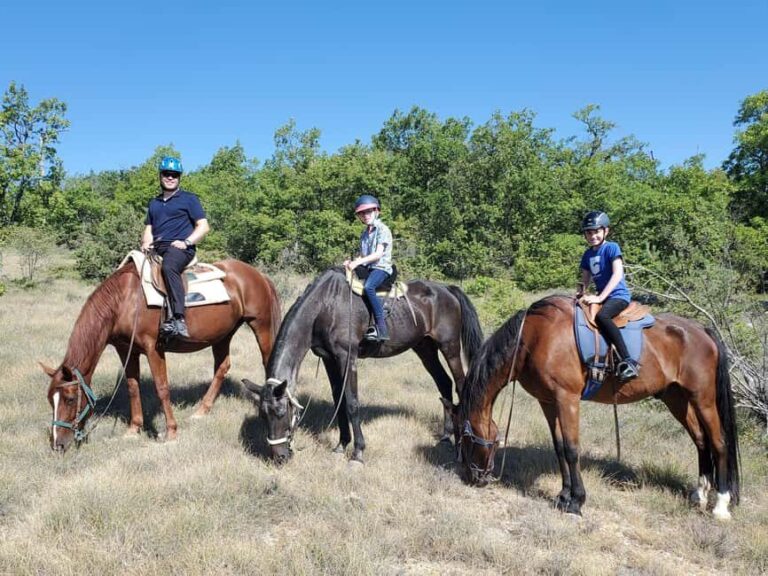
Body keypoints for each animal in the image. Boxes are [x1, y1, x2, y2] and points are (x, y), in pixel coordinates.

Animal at [42, 259, 281, 452]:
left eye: (70, 399)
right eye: (50, 400)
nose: (57, 445)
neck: (125, 301)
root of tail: (258, 275)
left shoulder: (153, 348)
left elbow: (162, 388)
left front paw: (171, 432)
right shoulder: (126, 350)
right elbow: (132, 387)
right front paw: (134, 429)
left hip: (261, 326)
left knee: (267, 360)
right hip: (223, 334)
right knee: (222, 367)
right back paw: (201, 411)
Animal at [242, 267, 483, 464]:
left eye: (281, 412)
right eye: (262, 415)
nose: (280, 456)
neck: (324, 306)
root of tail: (447, 289)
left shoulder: (346, 358)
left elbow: (351, 403)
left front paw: (358, 452)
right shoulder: (329, 359)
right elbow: (338, 401)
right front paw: (341, 445)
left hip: (450, 347)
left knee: (460, 384)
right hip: (425, 348)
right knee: (444, 382)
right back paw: (445, 436)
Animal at [454, 295, 740, 520]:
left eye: (466, 438)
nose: (470, 477)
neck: (534, 337)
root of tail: (702, 330)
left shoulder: (567, 399)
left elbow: (571, 450)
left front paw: (576, 502)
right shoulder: (548, 402)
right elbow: (559, 448)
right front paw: (563, 496)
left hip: (703, 399)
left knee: (719, 443)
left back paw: (721, 505)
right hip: (677, 398)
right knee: (701, 440)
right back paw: (700, 494)